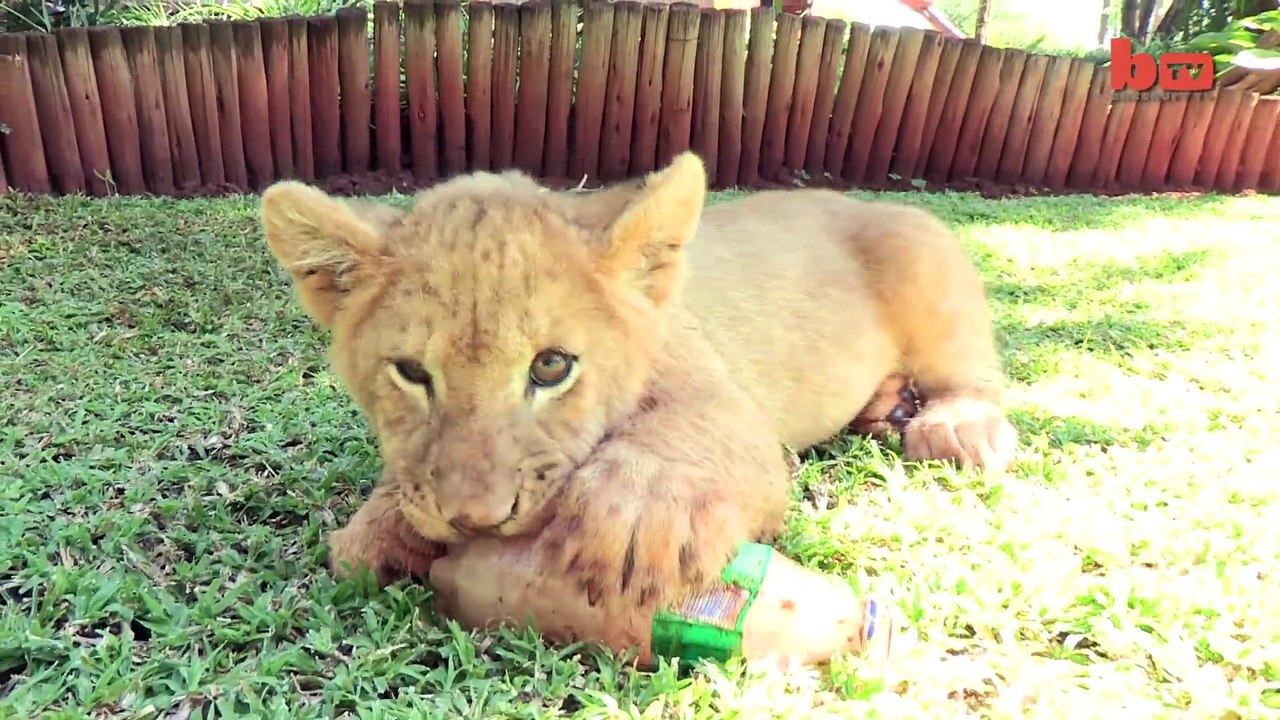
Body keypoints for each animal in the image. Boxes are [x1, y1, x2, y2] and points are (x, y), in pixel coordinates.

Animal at [258, 152, 1016, 618]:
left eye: (551, 367)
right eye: (412, 374)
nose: (474, 519)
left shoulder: (732, 408)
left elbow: (691, 430)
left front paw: (638, 514)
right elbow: (369, 535)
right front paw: (381, 528)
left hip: (926, 258)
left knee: (971, 369)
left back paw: (957, 425)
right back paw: (885, 406)